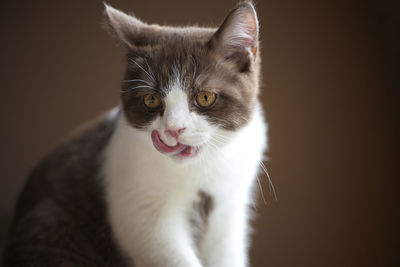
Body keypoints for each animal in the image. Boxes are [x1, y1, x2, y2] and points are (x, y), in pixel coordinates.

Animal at [3, 2, 268, 267]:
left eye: (205, 97)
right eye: (151, 100)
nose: (174, 129)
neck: (200, 166)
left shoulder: (229, 210)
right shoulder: (141, 212)